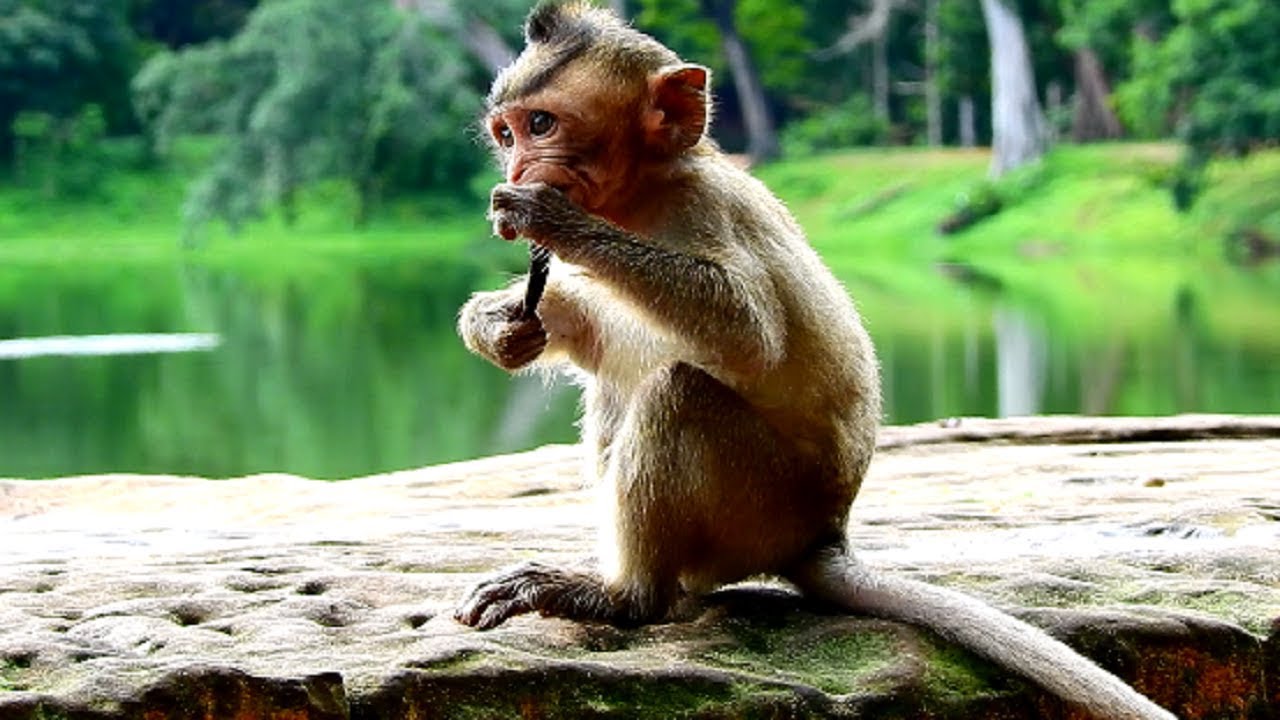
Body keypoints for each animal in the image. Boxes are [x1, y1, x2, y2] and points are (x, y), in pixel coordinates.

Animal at [454, 3, 1175, 719]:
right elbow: (590, 331)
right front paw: (498, 324)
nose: (515, 172)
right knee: (619, 379)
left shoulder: (705, 207)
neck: (645, 195)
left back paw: (625, 595)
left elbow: (749, 333)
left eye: (541, 125)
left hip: (759, 504)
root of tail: (820, 534)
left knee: (678, 391)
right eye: (506, 133)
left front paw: (551, 219)